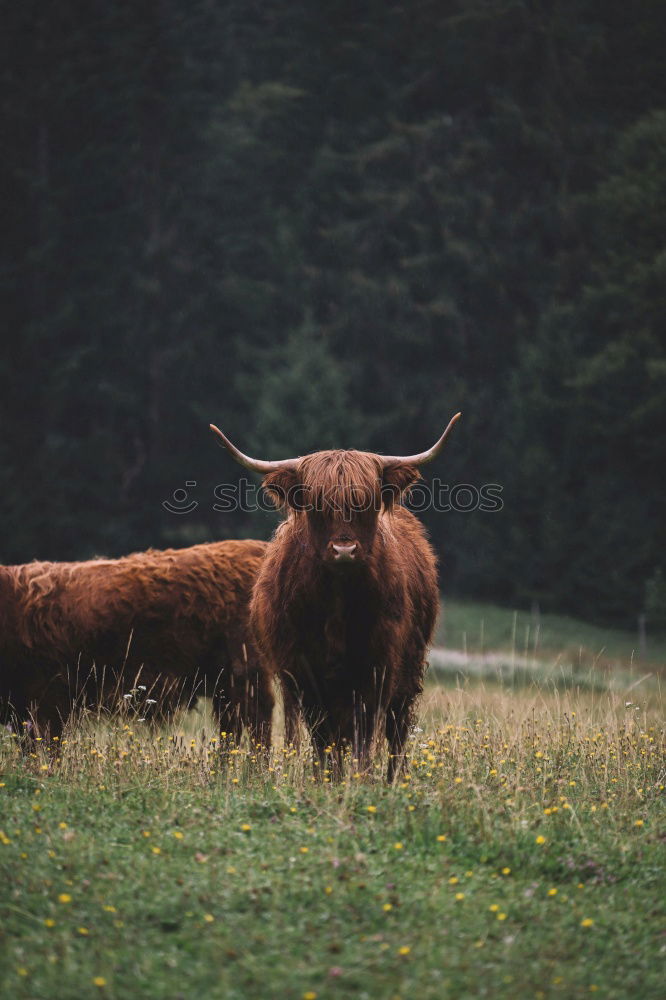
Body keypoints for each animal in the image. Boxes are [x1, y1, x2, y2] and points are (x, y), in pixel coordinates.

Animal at [0, 540, 272, 744]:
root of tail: (253, 548)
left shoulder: (47, 699)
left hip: (244, 673)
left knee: (257, 725)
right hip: (223, 683)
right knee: (232, 729)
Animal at [210, 410, 460, 776]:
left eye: (367, 503)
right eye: (316, 505)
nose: (344, 550)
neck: (337, 603)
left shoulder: (378, 664)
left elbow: (364, 728)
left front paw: (360, 776)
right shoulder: (303, 669)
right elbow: (322, 733)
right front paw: (326, 776)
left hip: (410, 665)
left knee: (397, 727)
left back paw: (393, 778)